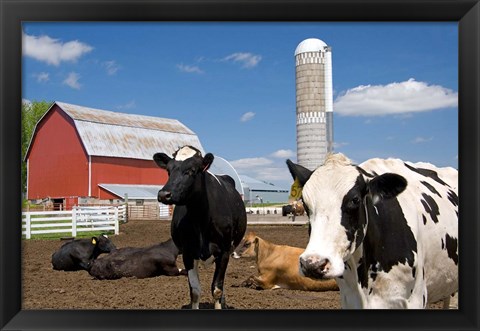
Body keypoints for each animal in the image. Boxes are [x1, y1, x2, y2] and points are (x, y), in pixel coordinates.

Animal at [154, 147, 248, 310]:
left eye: (192, 170)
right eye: (168, 170)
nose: (164, 194)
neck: (200, 219)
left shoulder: (224, 252)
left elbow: (217, 289)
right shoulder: (188, 253)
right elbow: (195, 290)